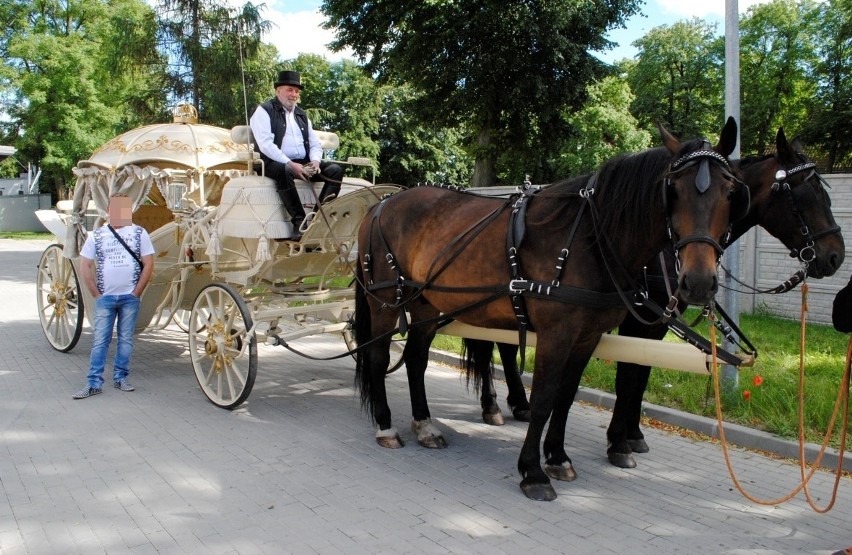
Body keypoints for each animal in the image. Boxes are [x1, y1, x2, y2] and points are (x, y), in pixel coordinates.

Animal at [352, 119, 744, 502]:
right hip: (385, 301)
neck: (591, 236)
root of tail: (382, 204)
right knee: (377, 357)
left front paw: (557, 457)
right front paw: (533, 472)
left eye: (729, 191)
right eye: (673, 189)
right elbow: (543, 399)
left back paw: (425, 425)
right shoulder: (557, 334)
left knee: (416, 360)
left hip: (424, 305)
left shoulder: (587, 337)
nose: (698, 282)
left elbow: (565, 398)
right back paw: (385, 425)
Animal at [466, 126, 844, 470]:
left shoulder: (657, 323)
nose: (835, 256)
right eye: (807, 192)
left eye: (731, 195)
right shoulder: (636, 321)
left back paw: (517, 403)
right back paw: (494, 405)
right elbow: (627, 378)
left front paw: (632, 435)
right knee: (491, 348)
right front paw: (619, 442)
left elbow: (642, 375)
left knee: (503, 346)